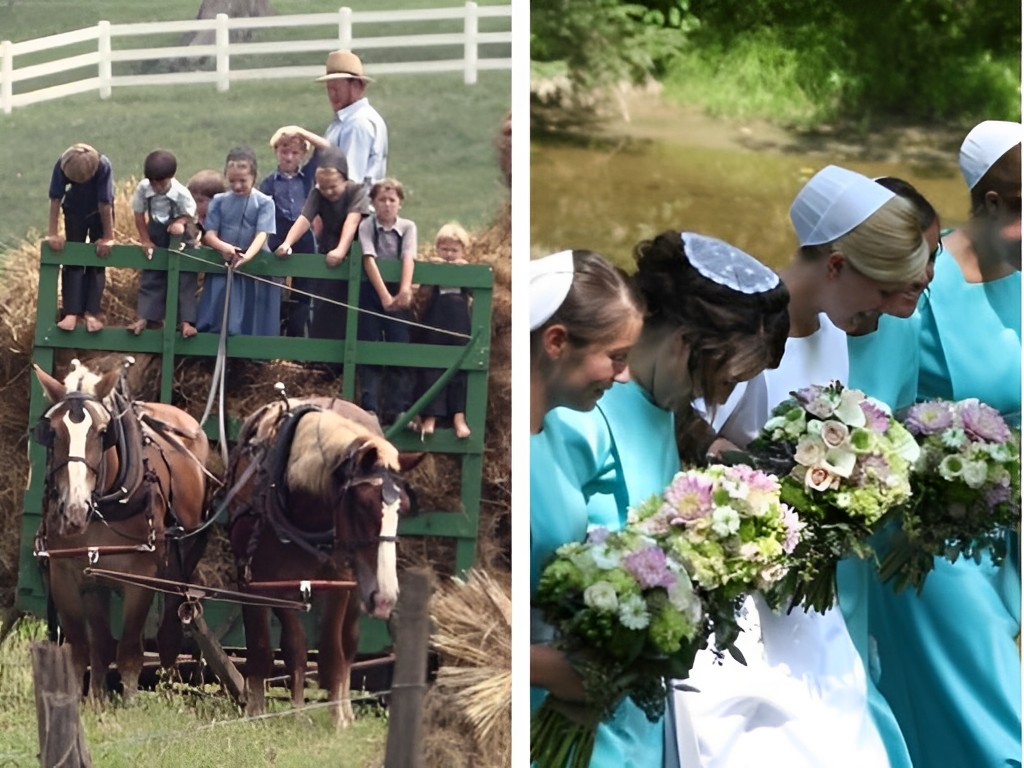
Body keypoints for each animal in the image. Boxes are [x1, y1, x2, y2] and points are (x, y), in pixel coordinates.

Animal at [33, 364, 209, 700]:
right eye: (52, 431)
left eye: (104, 432)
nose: (74, 511)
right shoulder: (66, 574)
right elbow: (81, 648)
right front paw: (81, 700)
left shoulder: (141, 578)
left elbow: (128, 650)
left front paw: (130, 701)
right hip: (96, 580)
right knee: (102, 641)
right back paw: (99, 695)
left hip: (179, 567)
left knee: (169, 631)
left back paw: (169, 687)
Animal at [227, 399, 419, 729]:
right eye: (362, 504)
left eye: (403, 507)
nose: (385, 598)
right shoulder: (257, 581)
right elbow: (274, 647)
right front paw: (260, 711)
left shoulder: (339, 582)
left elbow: (332, 651)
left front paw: (337, 717)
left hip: (356, 591)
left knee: (348, 645)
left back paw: (345, 707)